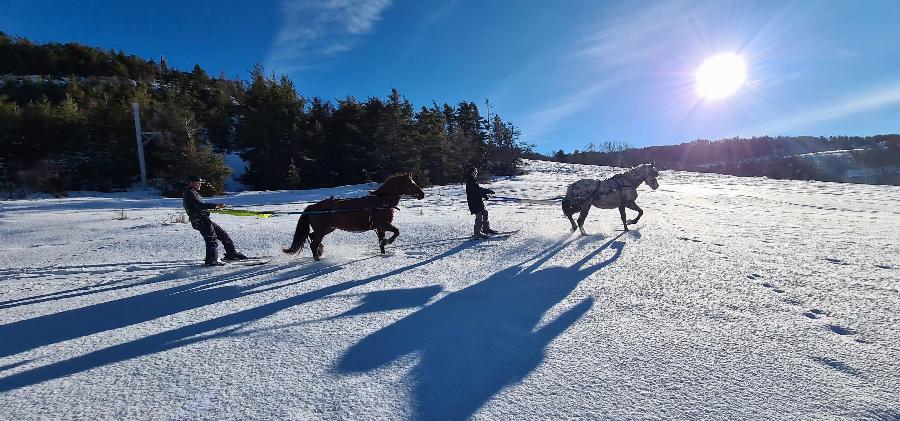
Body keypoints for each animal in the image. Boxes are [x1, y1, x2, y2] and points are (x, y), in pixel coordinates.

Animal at [284, 173, 426, 260]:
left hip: (328, 229)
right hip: (323, 230)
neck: (381, 202)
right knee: (313, 244)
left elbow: (381, 243)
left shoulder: (380, 228)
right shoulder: (383, 225)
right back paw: (318, 259)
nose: (422, 194)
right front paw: (388, 241)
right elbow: (396, 232)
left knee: (312, 237)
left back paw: (320, 251)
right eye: (411, 183)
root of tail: (312, 207)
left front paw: (383, 253)